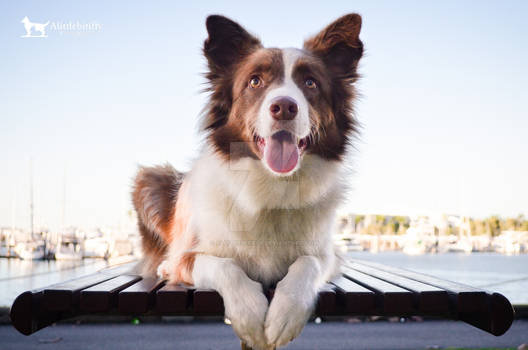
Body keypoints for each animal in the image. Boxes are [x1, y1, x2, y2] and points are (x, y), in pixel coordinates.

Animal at [132, 13, 364, 350]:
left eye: (310, 83)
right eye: (255, 81)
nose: (284, 107)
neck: (271, 186)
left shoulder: (328, 255)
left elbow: (307, 263)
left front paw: (285, 314)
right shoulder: (187, 256)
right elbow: (224, 266)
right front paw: (250, 315)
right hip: (150, 179)